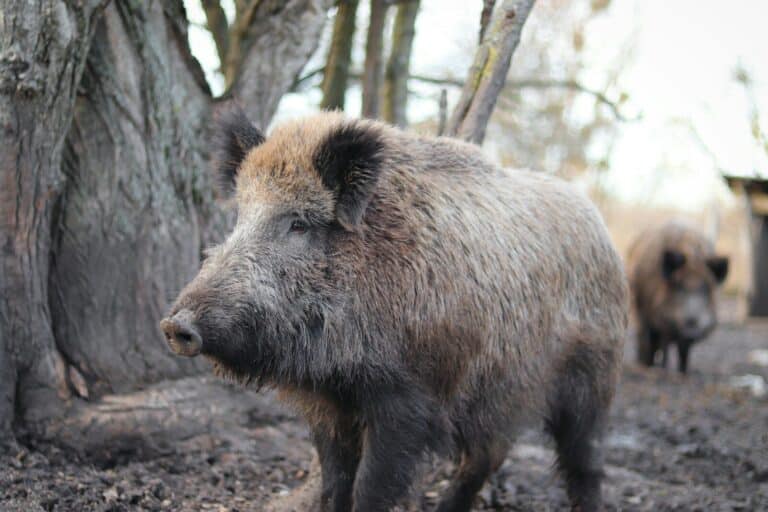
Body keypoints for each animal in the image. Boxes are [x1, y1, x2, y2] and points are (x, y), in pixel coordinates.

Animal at [160, 104, 628, 512]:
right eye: (241, 216)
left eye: (298, 223)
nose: (175, 325)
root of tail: (603, 230)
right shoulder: (327, 403)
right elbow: (335, 483)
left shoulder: (409, 397)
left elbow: (371, 487)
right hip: (502, 390)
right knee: (487, 455)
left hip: (593, 377)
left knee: (585, 462)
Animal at [627, 222, 729, 374]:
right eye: (679, 286)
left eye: (705, 289)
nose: (692, 323)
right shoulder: (655, 318)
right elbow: (659, 344)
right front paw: (661, 369)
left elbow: (683, 352)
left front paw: (683, 372)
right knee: (646, 340)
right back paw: (645, 364)